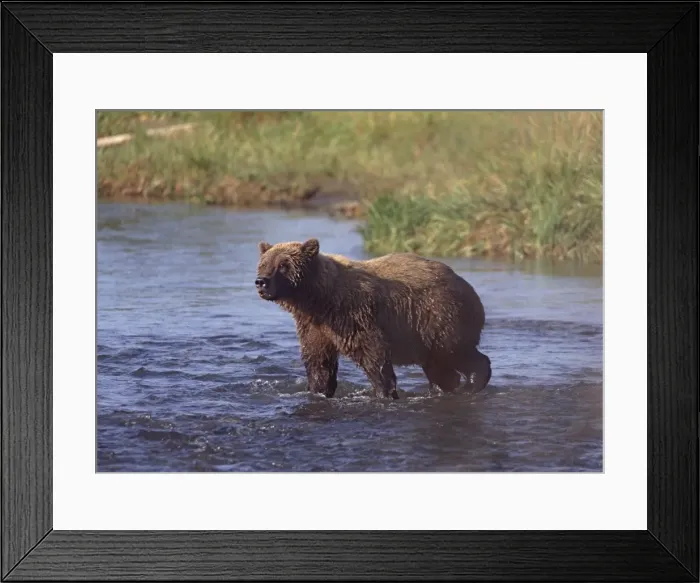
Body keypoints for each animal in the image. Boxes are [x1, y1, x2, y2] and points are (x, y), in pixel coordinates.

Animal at [255, 238, 491, 399]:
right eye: (264, 263)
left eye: (283, 265)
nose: (261, 281)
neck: (318, 299)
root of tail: (468, 286)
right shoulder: (315, 326)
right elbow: (318, 361)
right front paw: (318, 390)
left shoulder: (353, 315)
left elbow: (372, 355)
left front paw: (384, 392)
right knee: (439, 365)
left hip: (438, 317)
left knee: (454, 352)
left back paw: (472, 383)